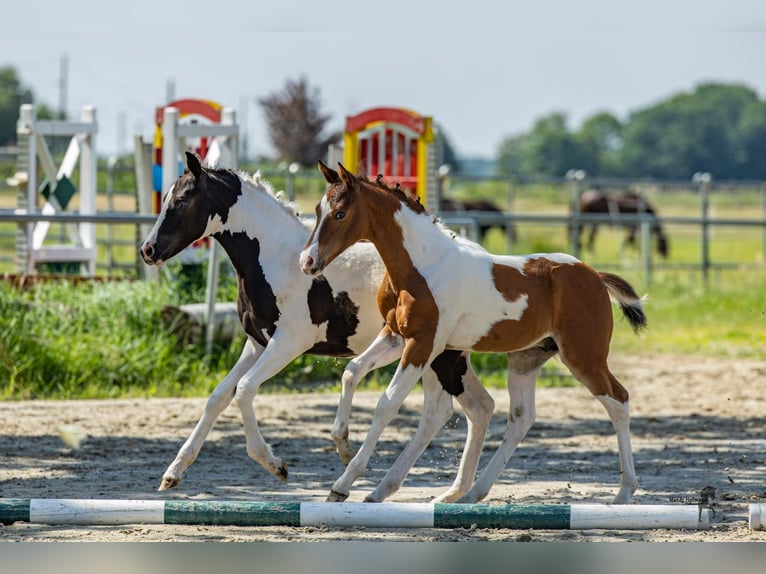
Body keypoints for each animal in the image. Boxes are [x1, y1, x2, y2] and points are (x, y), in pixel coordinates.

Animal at [139, 151, 495, 494]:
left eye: (182, 200)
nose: (148, 250)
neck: (276, 258)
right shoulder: (258, 343)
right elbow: (218, 397)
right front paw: (173, 473)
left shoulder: (289, 343)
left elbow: (244, 390)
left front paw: (275, 464)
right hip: (443, 356)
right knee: (476, 408)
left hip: (432, 354)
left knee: (451, 410)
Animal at [300, 161, 646, 504]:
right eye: (318, 209)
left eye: (340, 213)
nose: (307, 261)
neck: (423, 266)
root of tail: (595, 276)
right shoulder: (395, 336)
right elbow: (352, 370)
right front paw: (343, 446)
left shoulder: (422, 344)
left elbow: (387, 404)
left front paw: (343, 483)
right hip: (526, 360)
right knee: (521, 418)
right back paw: (473, 492)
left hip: (583, 356)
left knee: (619, 400)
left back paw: (624, 491)